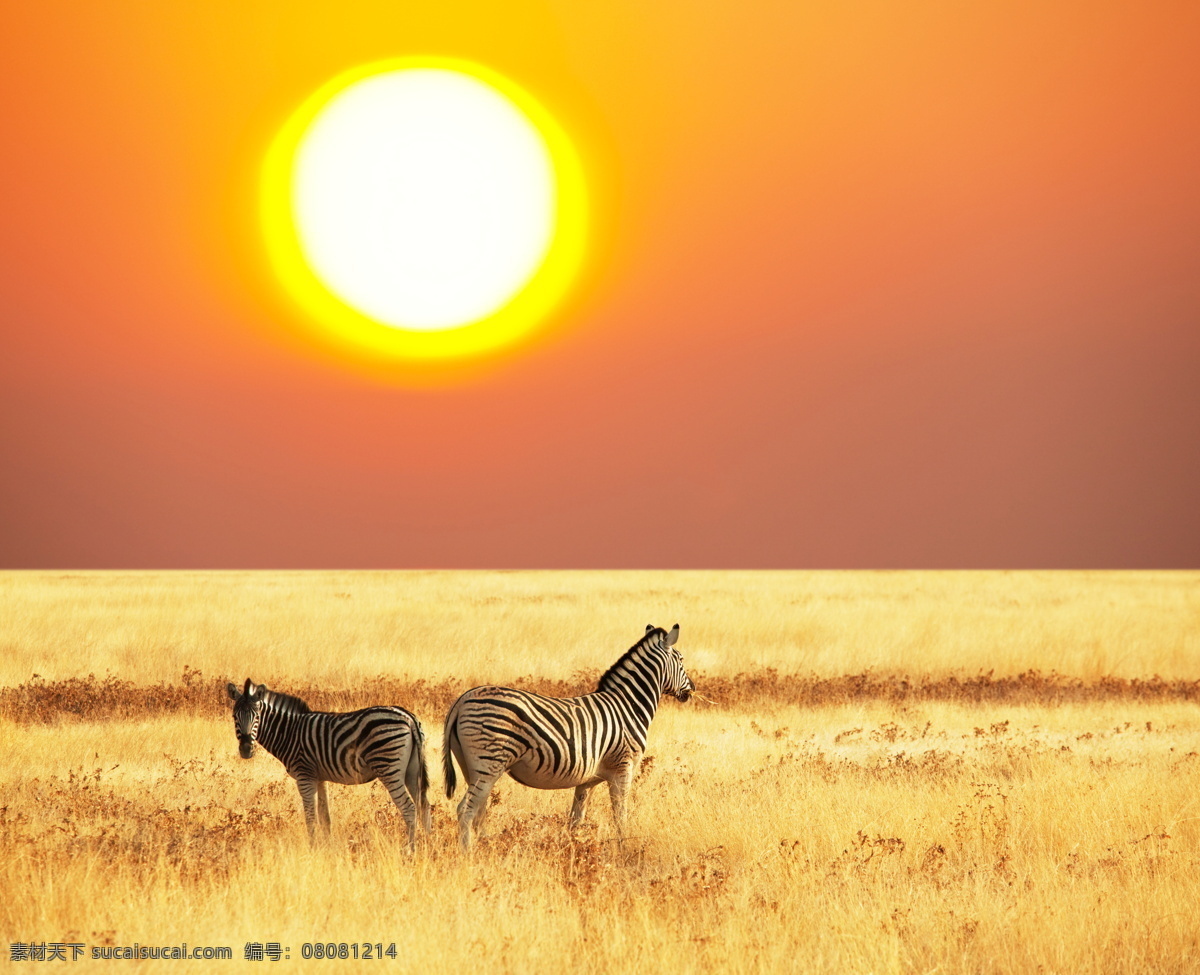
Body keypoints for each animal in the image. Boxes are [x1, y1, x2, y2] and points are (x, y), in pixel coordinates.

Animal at [225, 682, 432, 850]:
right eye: (234, 716)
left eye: (257, 717)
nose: (246, 750)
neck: (289, 732)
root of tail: (408, 717)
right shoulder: (319, 777)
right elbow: (325, 818)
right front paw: (327, 847)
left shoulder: (304, 775)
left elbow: (310, 817)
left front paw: (312, 848)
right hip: (412, 771)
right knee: (424, 806)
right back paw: (429, 844)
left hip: (389, 767)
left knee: (409, 808)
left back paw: (410, 850)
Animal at [441, 624, 696, 845]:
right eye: (681, 660)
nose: (692, 689)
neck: (628, 706)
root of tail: (463, 700)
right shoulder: (623, 768)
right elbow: (620, 816)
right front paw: (623, 849)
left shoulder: (587, 779)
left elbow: (576, 820)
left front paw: (573, 850)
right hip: (489, 763)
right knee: (466, 810)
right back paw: (468, 854)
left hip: (472, 767)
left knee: (478, 811)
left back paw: (486, 848)